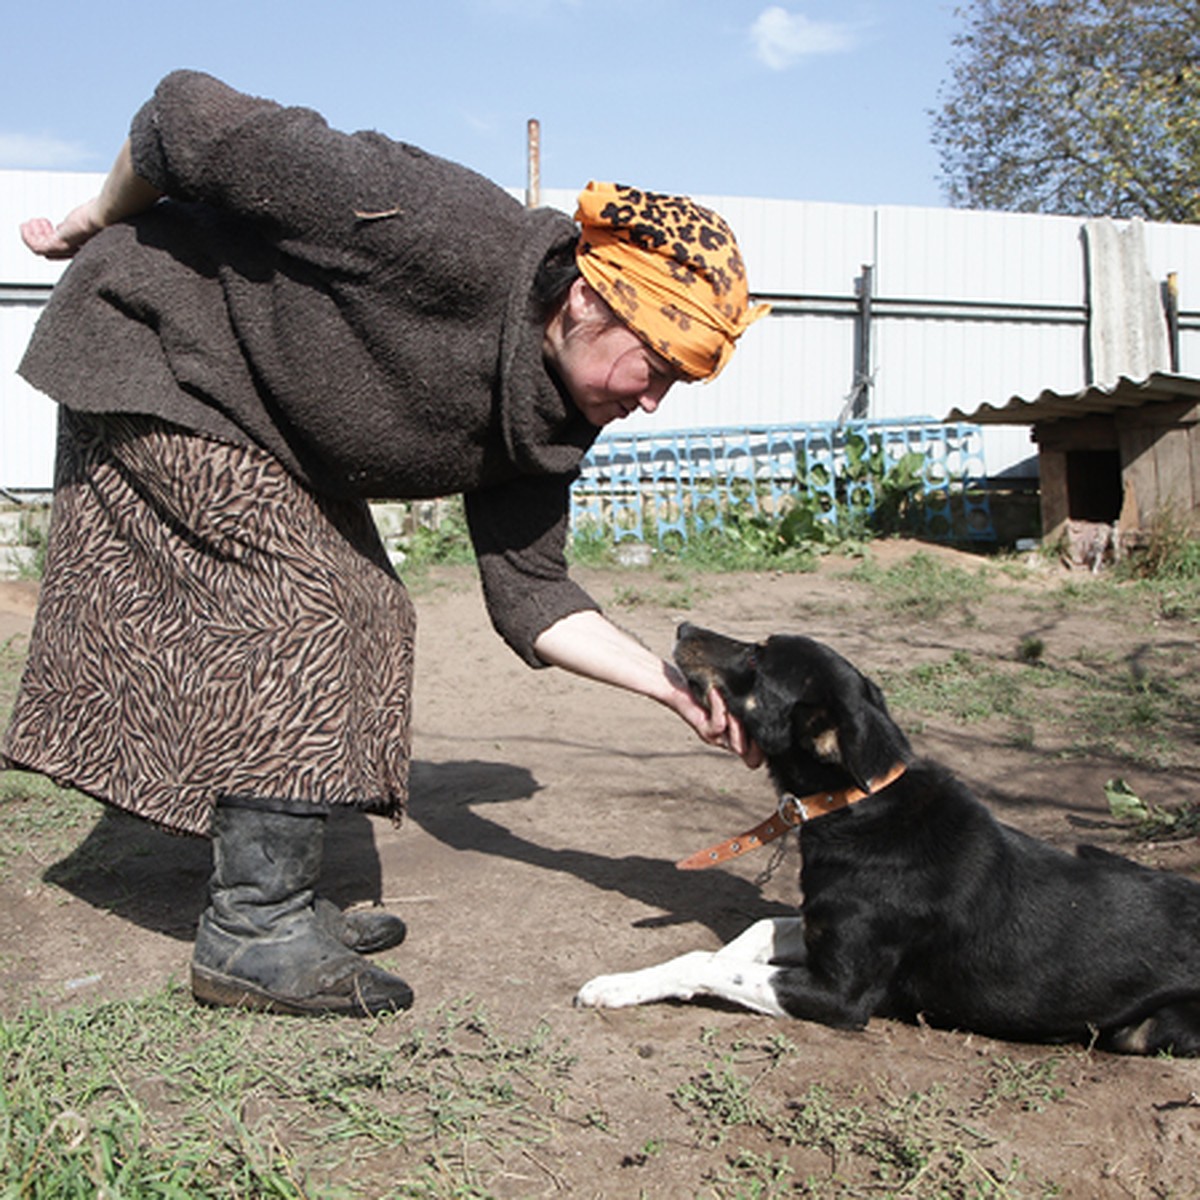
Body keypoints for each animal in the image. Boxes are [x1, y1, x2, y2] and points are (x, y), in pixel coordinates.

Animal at [578, 624, 1200, 1056]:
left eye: (756, 656)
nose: (683, 627)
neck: (856, 806)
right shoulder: (817, 929)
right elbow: (743, 937)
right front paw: (640, 979)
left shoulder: (842, 994)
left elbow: (707, 964)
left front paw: (623, 985)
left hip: (1149, 1029)